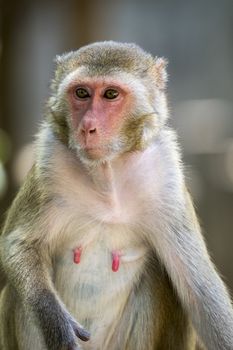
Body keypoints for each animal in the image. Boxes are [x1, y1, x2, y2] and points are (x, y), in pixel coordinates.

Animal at [0, 41, 233, 350]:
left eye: (110, 94)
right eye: (81, 93)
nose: (87, 126)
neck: (107, 173)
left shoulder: (166, 178)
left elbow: (200, 289)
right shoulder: (48, 162)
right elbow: (18, 245)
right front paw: (57, 323)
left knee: (163, 277)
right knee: (19, 294)